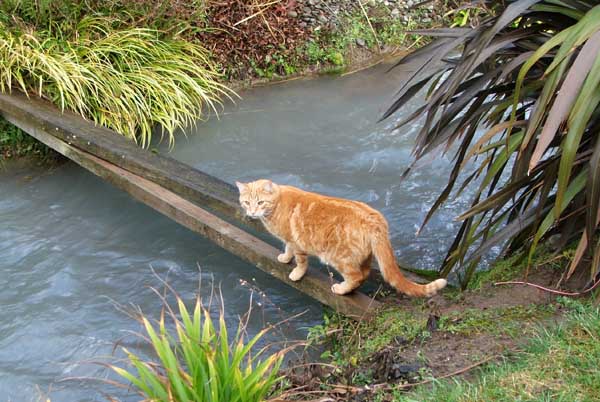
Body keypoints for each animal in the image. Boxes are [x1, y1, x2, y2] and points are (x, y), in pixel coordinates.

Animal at [237, 178, 448, 296]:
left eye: (260, 202)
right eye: (246, 202)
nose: (252, 212)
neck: (277, 205)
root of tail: (376, 219)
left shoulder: (297, 243)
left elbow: (301, 262)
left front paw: (296, 272)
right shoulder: (290, 240)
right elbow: (287, 249)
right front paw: (285, 258)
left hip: (339, 258)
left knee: (356, 276)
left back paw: (342, 288)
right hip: (364, 256)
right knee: (364, 274)